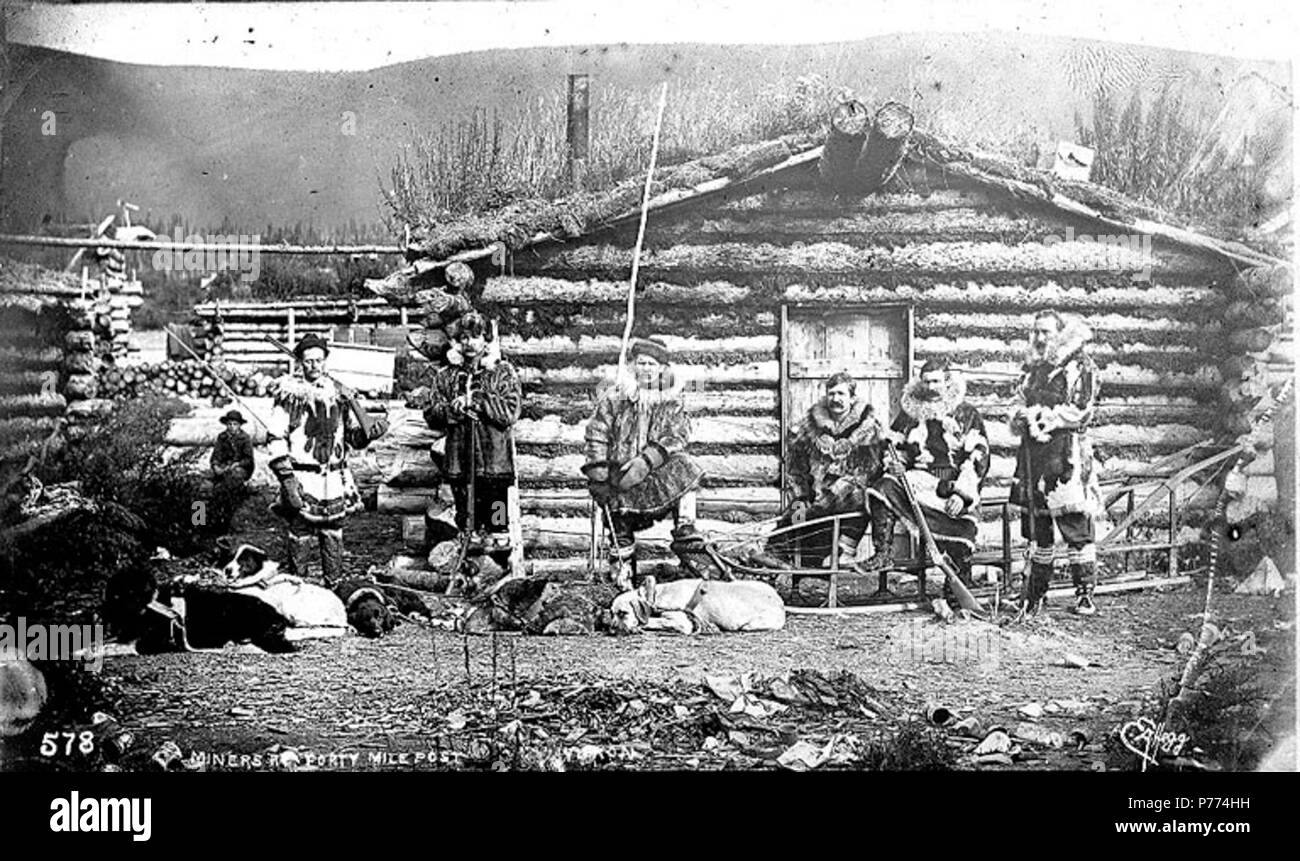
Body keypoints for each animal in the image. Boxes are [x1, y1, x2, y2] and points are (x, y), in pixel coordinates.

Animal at [605, 577, 780, 637]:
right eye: (612, 613)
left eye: (623, 613)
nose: (611, 630)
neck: (654, 595)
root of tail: (780, 602)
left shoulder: (682, 622)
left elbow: (653, 621)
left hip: (750, 625)